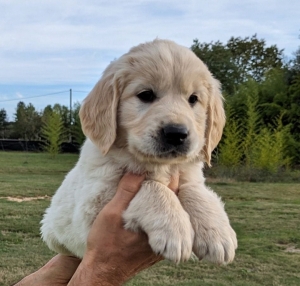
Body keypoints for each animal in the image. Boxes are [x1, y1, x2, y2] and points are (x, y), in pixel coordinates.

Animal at [40, 39, 237, 264]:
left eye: (193, 99)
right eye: (146, 95)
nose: (176, 133)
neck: (158, 165)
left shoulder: (189, 175)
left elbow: (194, 189)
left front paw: (217, 233)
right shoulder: (93, 204)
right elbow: (150, 185)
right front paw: (174, 229)